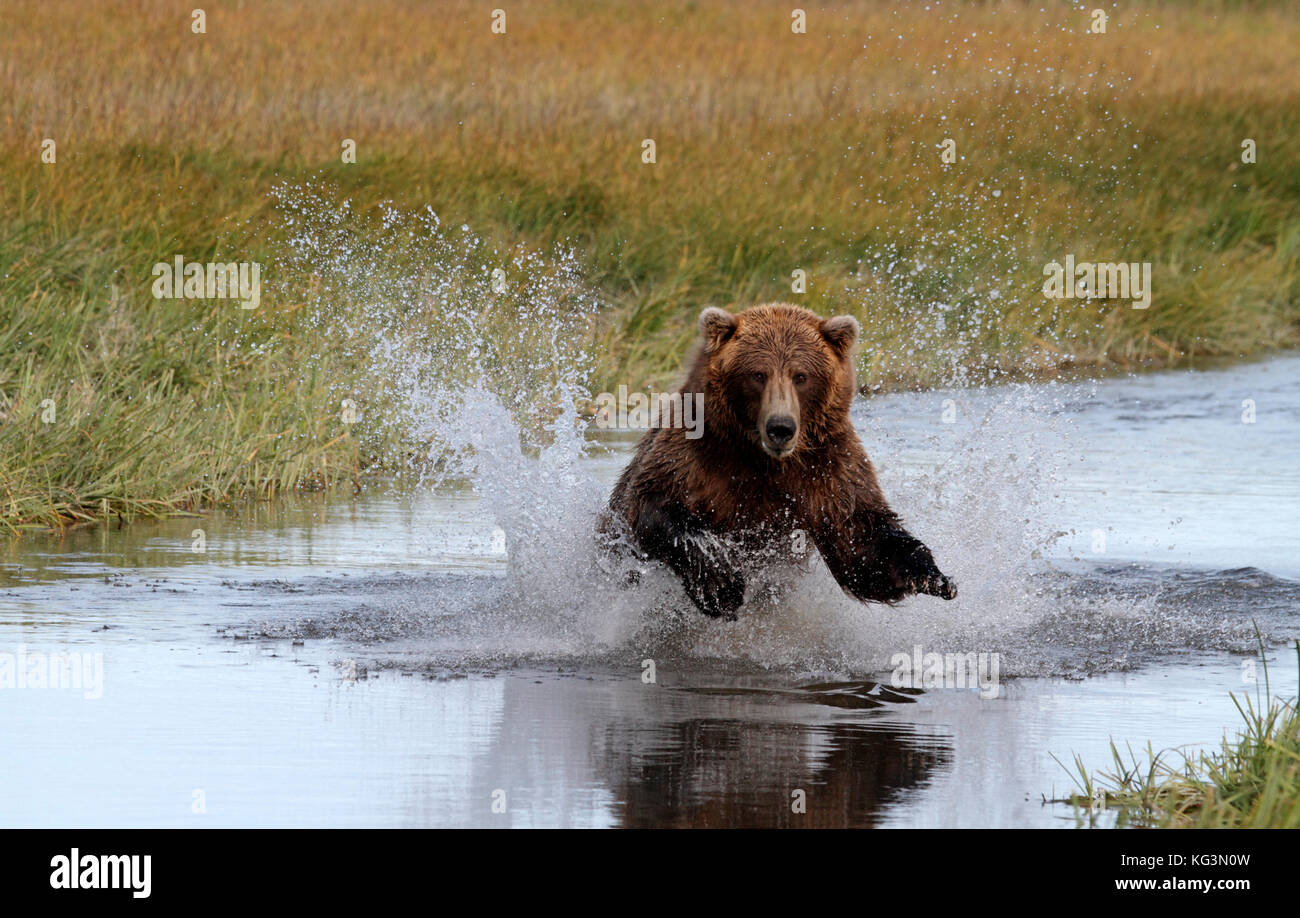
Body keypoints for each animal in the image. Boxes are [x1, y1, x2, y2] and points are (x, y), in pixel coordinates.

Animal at [598, 300, 956, 613]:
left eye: (801, 376)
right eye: (757, 374)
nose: (780, 428)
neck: (765, 459)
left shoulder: (828, 467)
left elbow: (859, 539)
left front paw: (933, 576)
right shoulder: (696, 453)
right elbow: (653, 504)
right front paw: (722, 584)